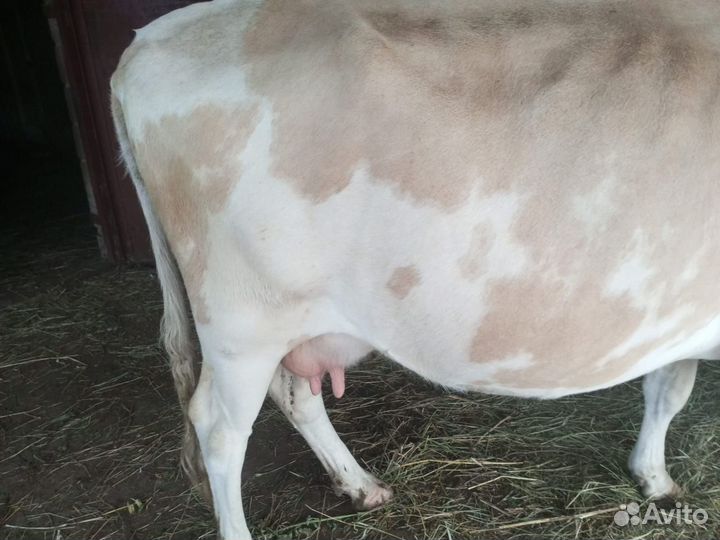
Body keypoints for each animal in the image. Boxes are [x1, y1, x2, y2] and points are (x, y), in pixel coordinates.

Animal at [110, 1, 720, 538]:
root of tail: (145, 43)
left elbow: (668, 389)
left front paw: (654, 477)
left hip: (299, 318)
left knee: (295, 394)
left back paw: (360, 484)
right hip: (241, 320)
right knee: (219, 431)